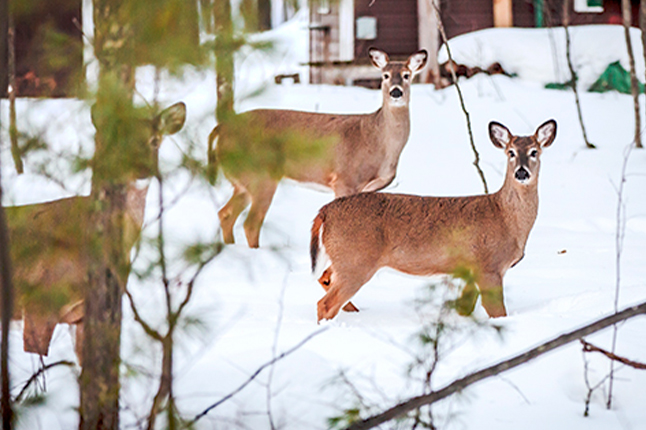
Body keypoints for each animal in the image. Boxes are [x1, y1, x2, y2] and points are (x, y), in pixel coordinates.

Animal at [209, 46, 430, 247]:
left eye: (407, 75)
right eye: (385, 75)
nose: (396, 92)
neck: (378, 142)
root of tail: (222, 128)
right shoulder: (345, 179)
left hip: (243, 180)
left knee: (224, 214)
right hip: (261, 175)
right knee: (250, 223)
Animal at [308, 119, 556, 320]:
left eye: (534, 152)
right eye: (510, 152)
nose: (521, 172)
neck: (506, 219)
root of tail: (324, 211)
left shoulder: (471, 270)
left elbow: (464, 309)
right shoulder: (489, 265)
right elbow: (497, 312)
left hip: (344, 257)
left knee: (324, 279)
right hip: (356, 259)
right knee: (325, 304)